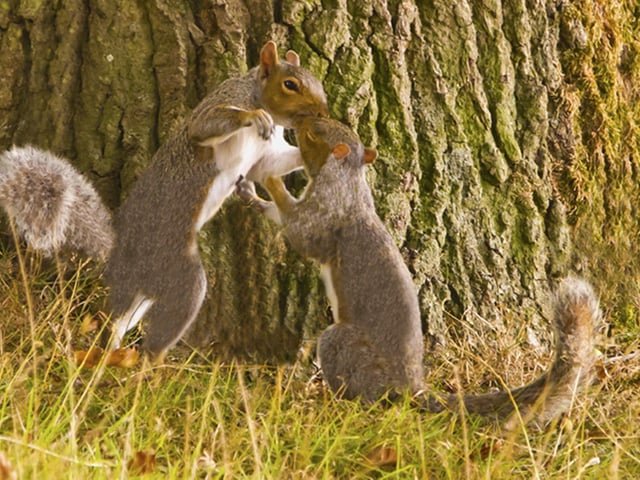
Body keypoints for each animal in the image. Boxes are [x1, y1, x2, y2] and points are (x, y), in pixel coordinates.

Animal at [0, 41, 328, 361]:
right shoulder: (223, 101)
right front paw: (251, 117)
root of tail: (117, 252)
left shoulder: (265, 154)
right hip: (176, 271)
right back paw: (147, 366)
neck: (259, 97)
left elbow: (270, 165)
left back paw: (113, 354)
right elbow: (205, 125)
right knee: (163, 321)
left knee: (120, 319)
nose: (322, 113)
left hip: (143, 294)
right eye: (290, 84)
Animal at [236, 116, 600, 427]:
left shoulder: (328, 215)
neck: (346, 177)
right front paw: (250, 195)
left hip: (345, 347)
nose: (299, 122)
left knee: (359, 390)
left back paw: (337, 402)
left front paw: (269, 181)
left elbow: (304, 236)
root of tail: (409, 386)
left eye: (314, 134)